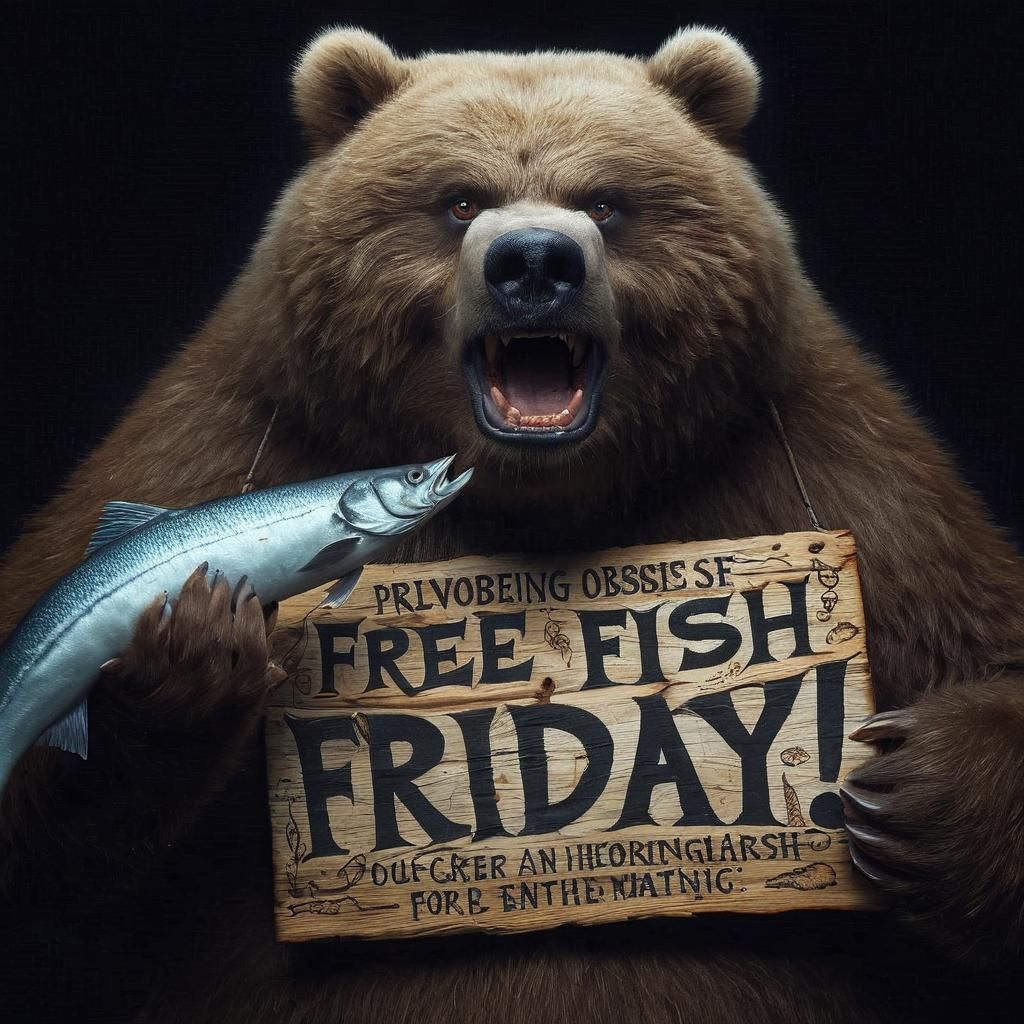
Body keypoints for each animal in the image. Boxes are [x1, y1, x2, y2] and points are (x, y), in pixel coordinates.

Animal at [1, 25, 1022, 1024]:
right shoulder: (221, 439)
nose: (535, 262)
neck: (540, 494)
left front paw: (910, 787)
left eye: (605, 201)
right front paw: (188, 658)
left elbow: (980, 637)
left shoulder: (836, 467)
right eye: (459, 200)